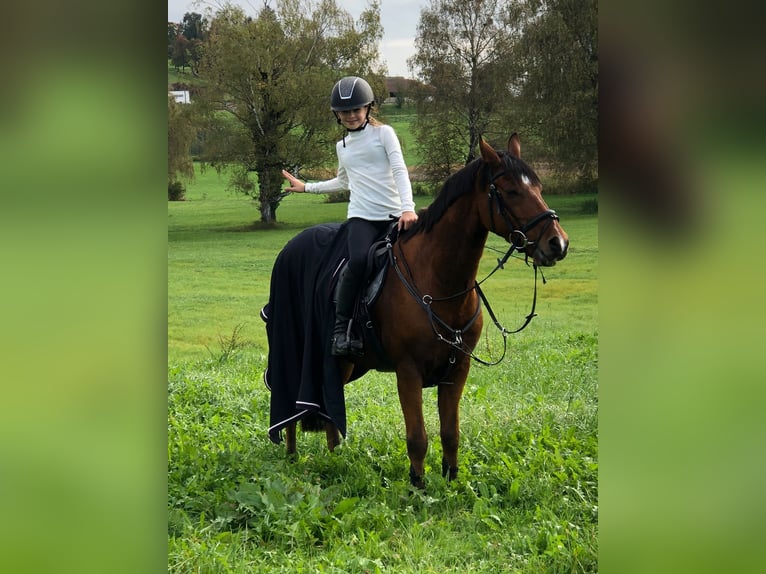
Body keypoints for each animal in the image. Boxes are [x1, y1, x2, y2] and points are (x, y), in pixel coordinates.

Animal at [271, 134, 568, 488]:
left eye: (537, 186)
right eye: (511, 191)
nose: (558, 243)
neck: (439, 281)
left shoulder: (457, 370)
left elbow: (450, 433)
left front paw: (450, 482)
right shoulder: (408, 371)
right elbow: (417, 438)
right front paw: (417, 486)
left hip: (344, 365)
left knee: (330, 409)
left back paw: (334, 461)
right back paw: (291, 457)